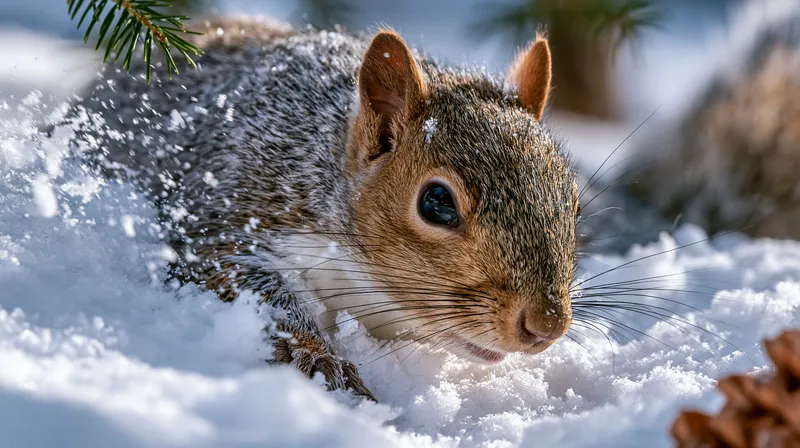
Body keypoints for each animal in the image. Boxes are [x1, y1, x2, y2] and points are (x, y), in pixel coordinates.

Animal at [67, 16, 580, 401]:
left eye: (572, 201)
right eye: (436, 203)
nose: (547, 325)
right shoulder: (233, 210)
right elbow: (250, 288)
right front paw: (322, 363)